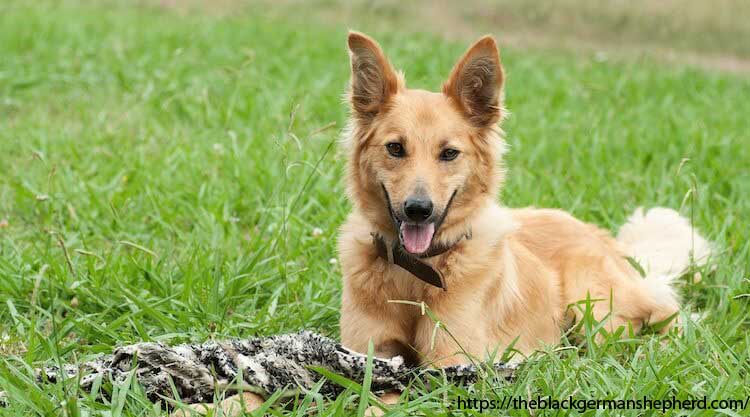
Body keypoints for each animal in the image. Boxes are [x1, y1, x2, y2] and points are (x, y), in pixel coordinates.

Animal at [175, 31, 712, 416]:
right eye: (395, 148)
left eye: (449, 153)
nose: (418, 209)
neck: (413, 278)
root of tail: (602, 236)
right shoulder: (362, 351)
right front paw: (211, 405)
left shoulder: (448, 367)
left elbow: (382, 397)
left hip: (596, 309)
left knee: (669, 321)